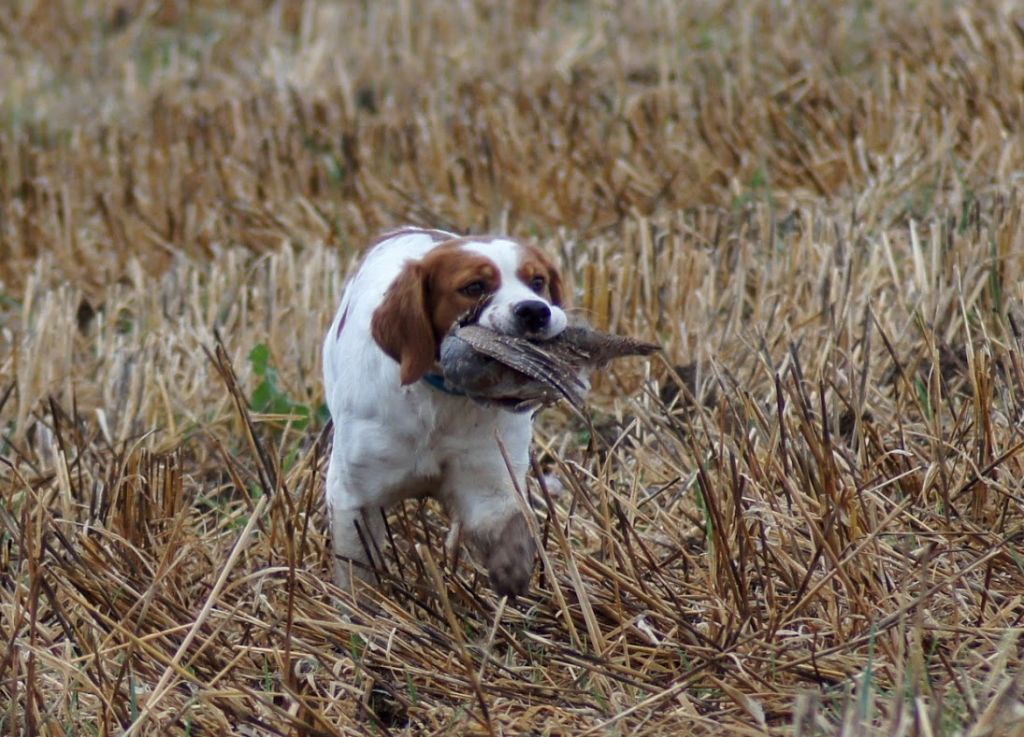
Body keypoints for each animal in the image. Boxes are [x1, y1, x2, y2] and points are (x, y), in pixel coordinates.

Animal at [322, 227, 567, 597]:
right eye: (474, 287)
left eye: (538, 281)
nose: (535, 311)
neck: (441, 401)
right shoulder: (353, 494)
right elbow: (358, 577)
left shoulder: (489, 478)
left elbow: (504, 525)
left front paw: (513, 574)